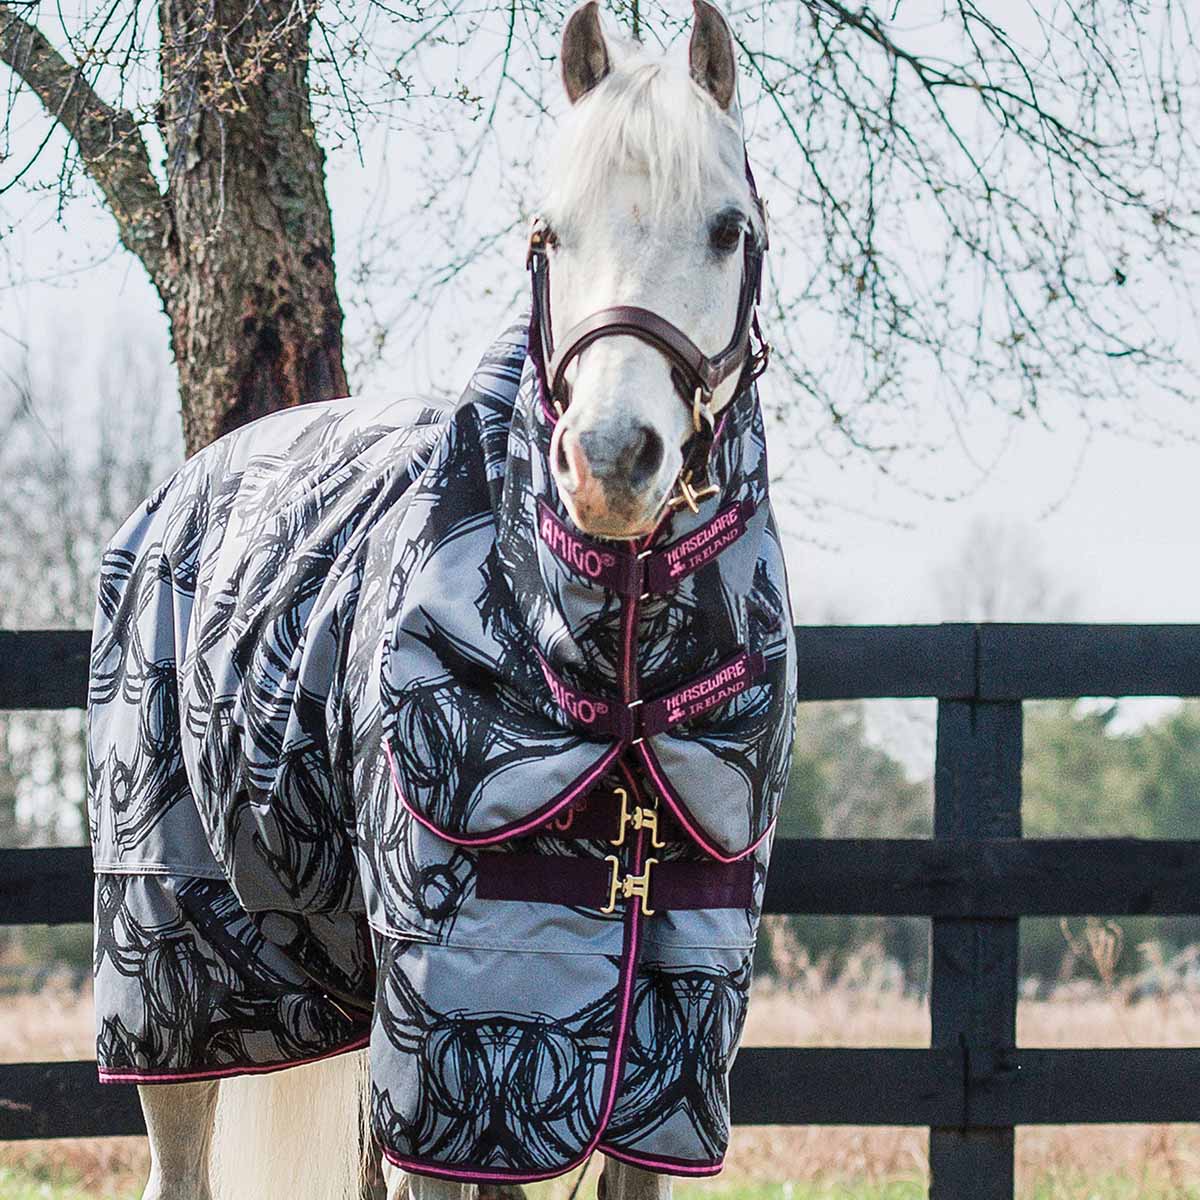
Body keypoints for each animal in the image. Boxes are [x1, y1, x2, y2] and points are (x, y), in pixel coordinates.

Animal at [85, 3, 797, 1198]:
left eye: (726, 229)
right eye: (548, 234)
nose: (610, 460)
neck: (615, 680)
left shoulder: (673, 1051)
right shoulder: (453, 1033)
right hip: (172, 971)